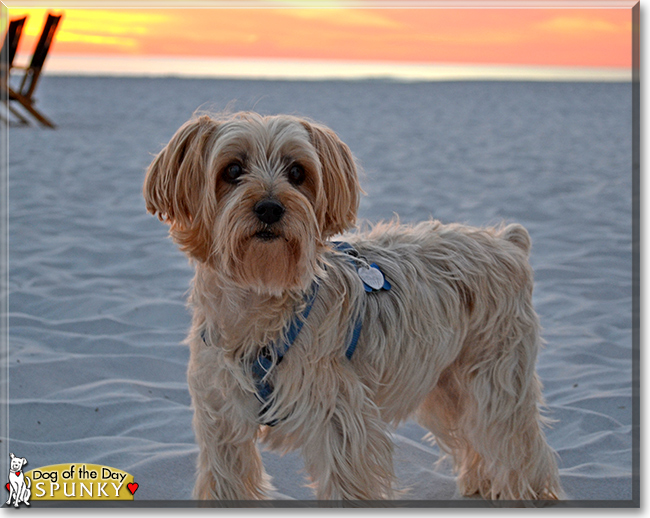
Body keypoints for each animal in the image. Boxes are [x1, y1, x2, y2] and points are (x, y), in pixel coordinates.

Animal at [144, 110, 560, 504]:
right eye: (231, 170)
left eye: (297, 172)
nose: (270, 208)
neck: (260, 299)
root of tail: (506, 241)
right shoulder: (222, 422)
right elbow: (225, 482)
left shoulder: (339, 420)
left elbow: (346, 485)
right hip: (445, 382)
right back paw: (479, 485)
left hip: (496, 373)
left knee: (515, 441)